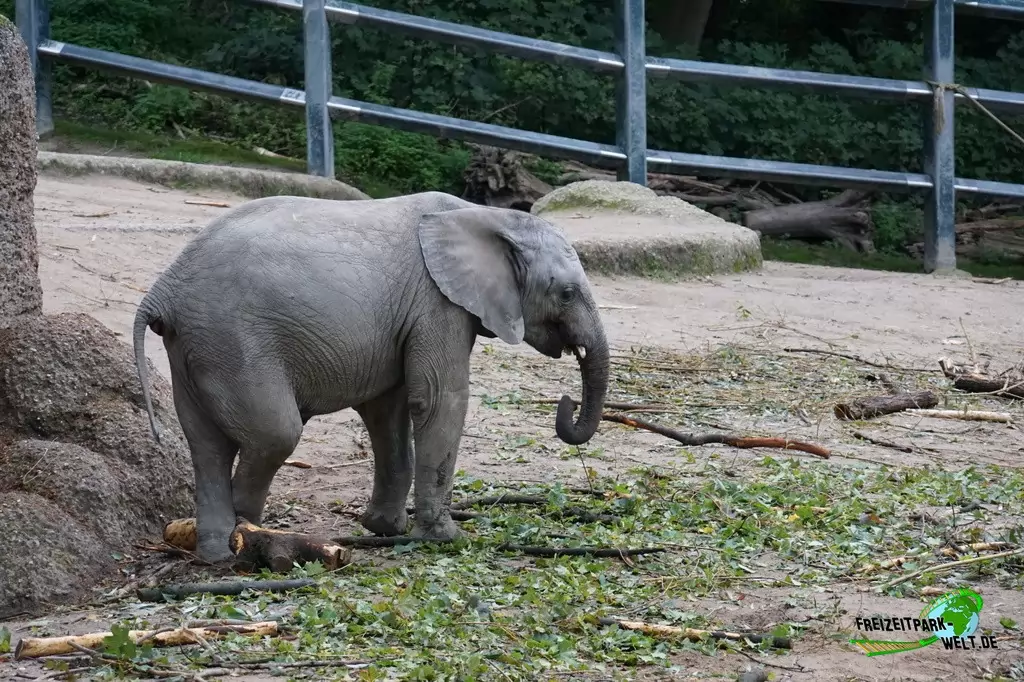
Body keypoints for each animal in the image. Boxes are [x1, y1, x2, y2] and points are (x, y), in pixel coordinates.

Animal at [132, 190, 609, 563]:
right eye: (567, 293)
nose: (566, 403)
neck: (484, 215)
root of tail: (163, 290)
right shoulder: (437, 304)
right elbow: (439, 399)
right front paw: (447, 539)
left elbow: (389, 409)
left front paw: (385, 529)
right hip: (233, 342)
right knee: (276, 433)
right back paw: (246, 533)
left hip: (196, 346)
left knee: (205, 444)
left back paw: (216, 553)